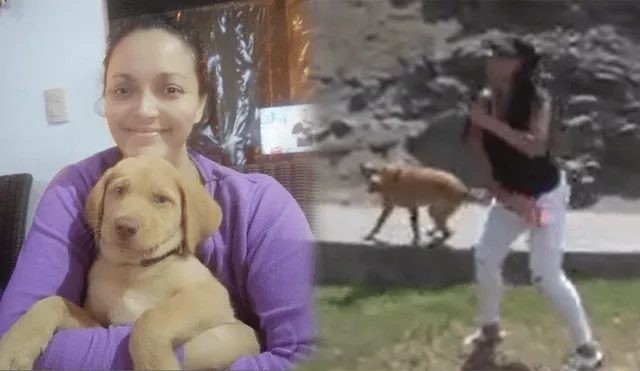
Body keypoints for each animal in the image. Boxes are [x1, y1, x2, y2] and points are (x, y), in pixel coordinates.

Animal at [0, 155, 262, 370]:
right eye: (119, 190)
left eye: (161, 200)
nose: (125, 226)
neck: (133, 270)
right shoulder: (99, 324)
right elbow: (54, 302)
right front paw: (14, 347)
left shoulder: (211, 297)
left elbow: (151, 319)